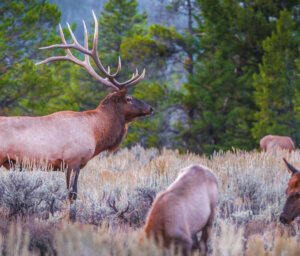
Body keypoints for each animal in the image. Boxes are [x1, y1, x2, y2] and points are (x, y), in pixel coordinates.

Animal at [0, 10, 152, 220]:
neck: (96, 133)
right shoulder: (74, 160)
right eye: (129, 98)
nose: (151, 108)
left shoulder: (66, 165)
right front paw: (71, 218)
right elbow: (73, 194)